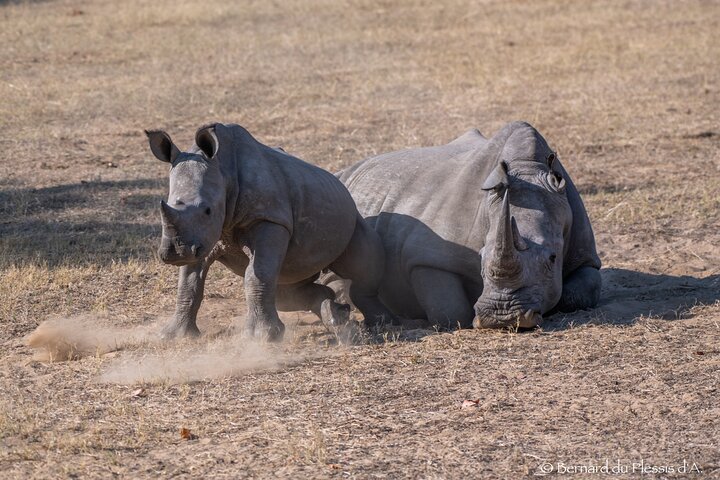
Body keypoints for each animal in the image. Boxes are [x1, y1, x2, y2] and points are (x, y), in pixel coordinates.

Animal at [145, 123, 395, 341]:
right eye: (169, 204)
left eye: (207, 210)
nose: (177, 252)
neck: (223, 170)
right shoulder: (203, 237)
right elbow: (189, 283)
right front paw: (174, 336)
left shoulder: (269, 219)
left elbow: (257, 275)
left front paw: (262, 337)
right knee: (287, 289)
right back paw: (336, 316)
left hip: (354, 218)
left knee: (360, 267)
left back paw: (381, 323)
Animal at [330, 121, 601, 329]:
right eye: (480, 255)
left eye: (553, 258)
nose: (501, 317)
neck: (527, 169)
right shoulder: (424, 255)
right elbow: (452, 311)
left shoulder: (585, 253)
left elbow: (578, 292)